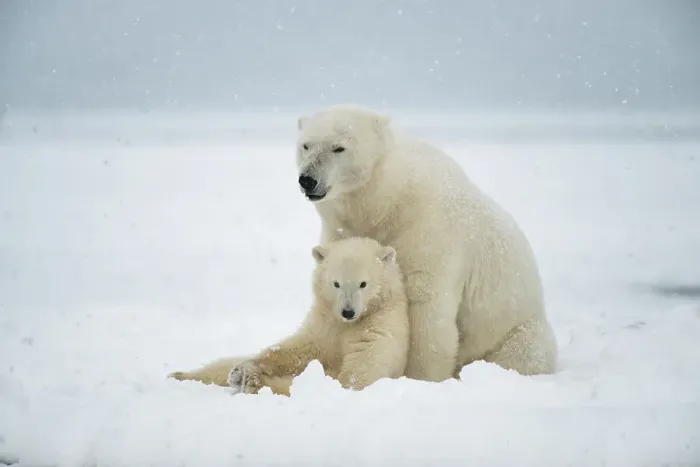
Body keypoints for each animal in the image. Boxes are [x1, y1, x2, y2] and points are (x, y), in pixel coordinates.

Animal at [169, 236, 410, 396]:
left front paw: (252, 379)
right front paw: (246, 369)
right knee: (220, 366)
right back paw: (181, 375)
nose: (348, 312)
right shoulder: (323, 325)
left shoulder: (379, 329)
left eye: (363, 283)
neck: (348, 325)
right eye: (336, 283)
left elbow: (357, 375)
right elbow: (296, 350)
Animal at [293, 103, 558, 382]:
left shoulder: (428, 230)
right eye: (306, 145)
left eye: (338, 147)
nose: (307, 179)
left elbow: (428, 309)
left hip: (517, 328)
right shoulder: (342, 232)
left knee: (525, 352)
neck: (388, 203)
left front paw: (421, 378)